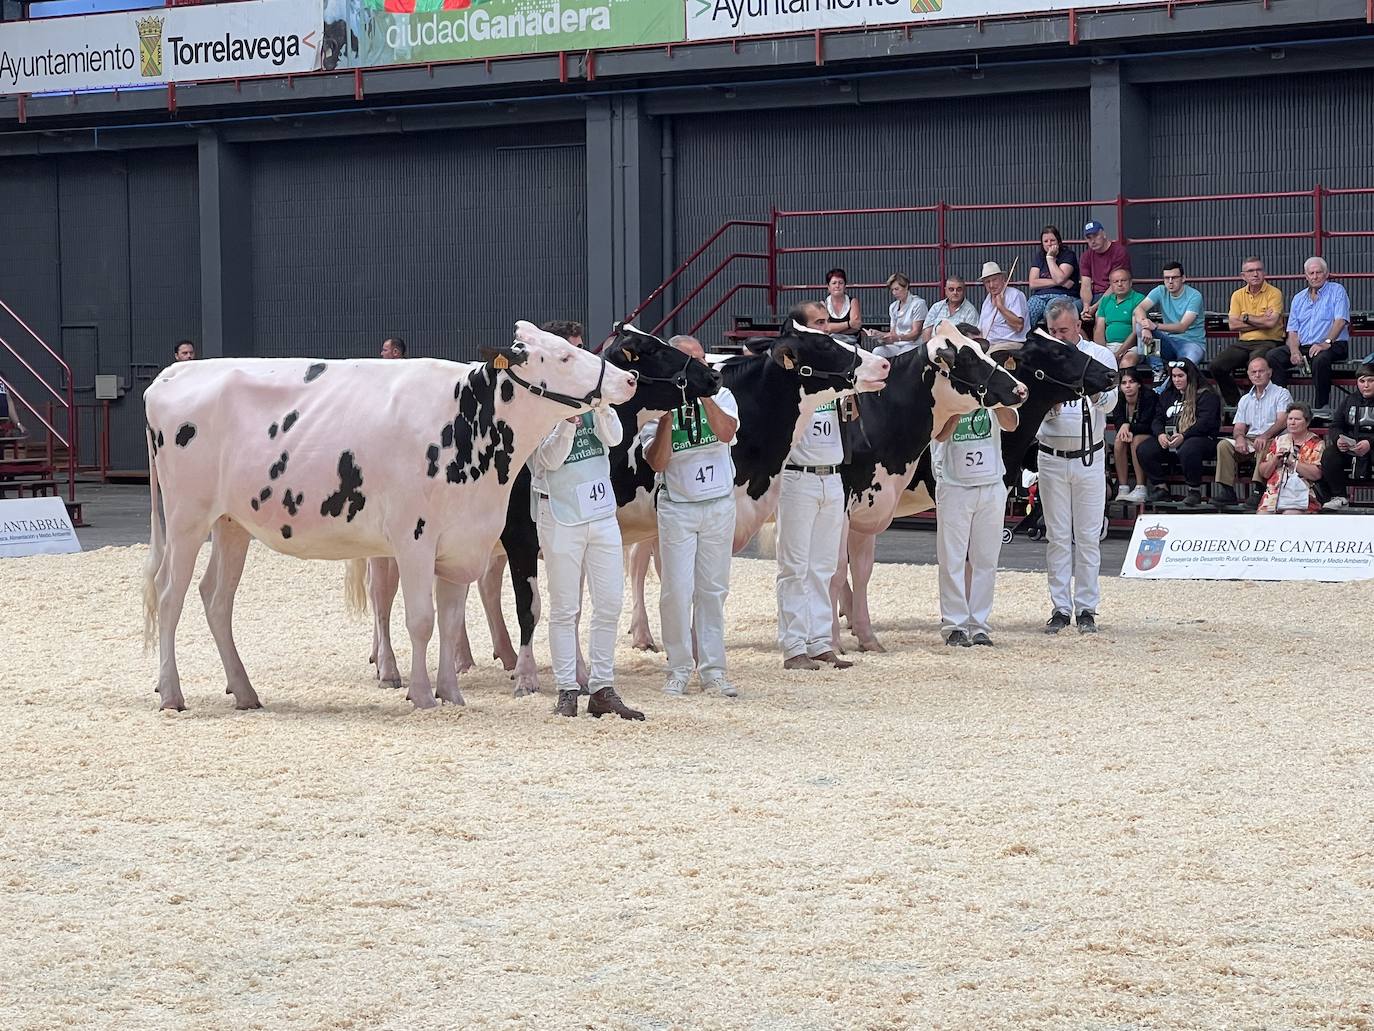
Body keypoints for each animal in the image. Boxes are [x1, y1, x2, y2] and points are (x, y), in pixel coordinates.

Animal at [140, 321, 637, 709]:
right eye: (564, 356)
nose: (629, 378)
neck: (468, 423)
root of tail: (170, 374)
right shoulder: (413, 538)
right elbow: (421, 619)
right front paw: (421, 695)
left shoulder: (461, 543)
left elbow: (450, 619)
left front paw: (451, 693)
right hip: (185, 518)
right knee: (169, 594)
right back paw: (171, 693)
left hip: (231, 525)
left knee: (215, 597)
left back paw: (244, 692)